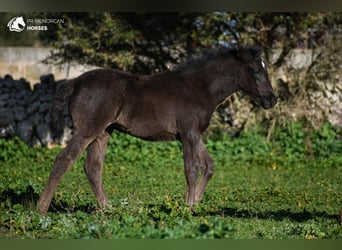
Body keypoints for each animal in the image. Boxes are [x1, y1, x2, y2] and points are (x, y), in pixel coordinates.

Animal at [37, 46, 278, 214]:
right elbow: (192, 169)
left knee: (92, 168)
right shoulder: (189, 133)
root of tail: (75, 82)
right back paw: (41, 208)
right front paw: (188, 208)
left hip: (103, 132)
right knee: (63, 160)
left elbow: (209, 165)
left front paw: (196, 202)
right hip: (88, 130)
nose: (272, 100)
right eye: (255, 70)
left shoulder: (192, 134)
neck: (199, 88)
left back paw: (108, 208)